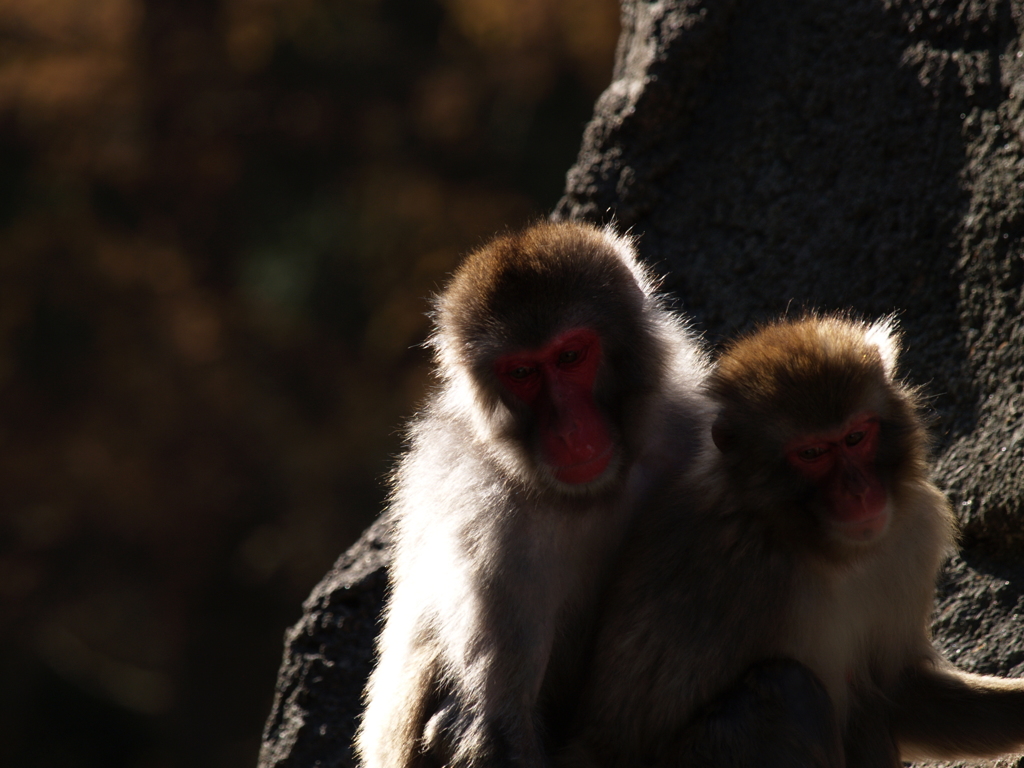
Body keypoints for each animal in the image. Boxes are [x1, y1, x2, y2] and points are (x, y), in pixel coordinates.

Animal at [358, 219, 712, 768]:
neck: (597, 491)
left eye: (570, 356)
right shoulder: (490, 525)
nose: (568, 431)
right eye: (522, 373)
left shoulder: (691, 434)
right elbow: (495, 727)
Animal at [565, 313, 1024, 768]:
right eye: (812, 453)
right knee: (786, 690)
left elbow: (900, 690)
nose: (859, 492)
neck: (817, 548)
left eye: (856, 437)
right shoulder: (728, 574)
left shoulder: (910, 538)